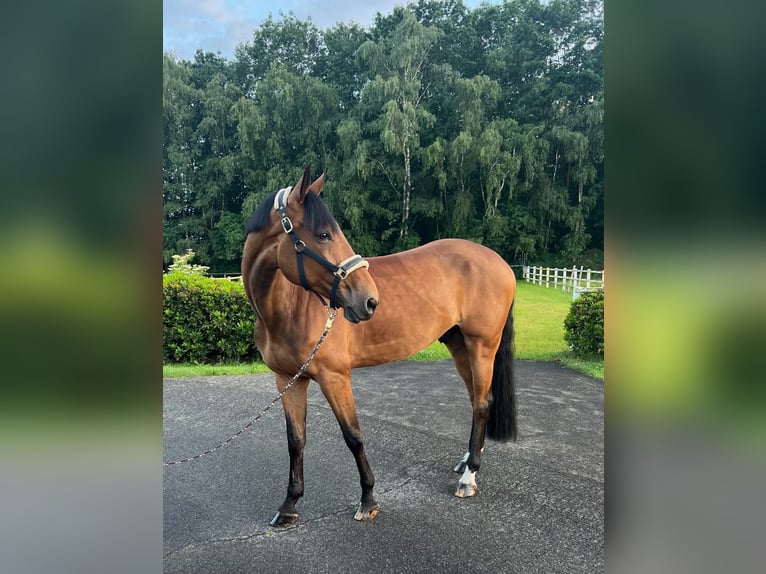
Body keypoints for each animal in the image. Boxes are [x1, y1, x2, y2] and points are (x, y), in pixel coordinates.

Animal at [241, 164, 517, 527]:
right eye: (323, 234)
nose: (369, 301)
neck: (288, 307)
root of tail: (501, 262)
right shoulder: (288, 379)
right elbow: (296, 441)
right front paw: (289, 506)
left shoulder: (335, 377)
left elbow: (353, 436)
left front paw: (368, 499)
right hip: (458, 344)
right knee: (477, 400)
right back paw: (467, 460)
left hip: (482, 345)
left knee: (483, 403)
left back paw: (469, 477)